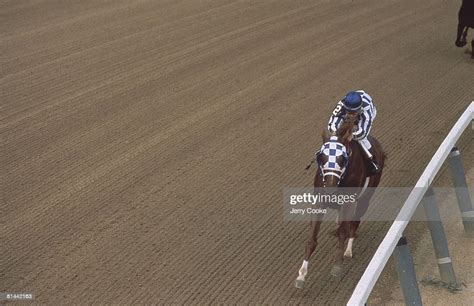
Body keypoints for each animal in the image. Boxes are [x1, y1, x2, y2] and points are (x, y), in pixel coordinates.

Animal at [296, 116, 386, 288]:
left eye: (342, 159)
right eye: (321, 157)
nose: (331, 188)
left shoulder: (348, 203)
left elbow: (344, 232)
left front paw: (337, 265)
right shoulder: (319, 202)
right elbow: (312, 239)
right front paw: (301, 275)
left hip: (367, 195)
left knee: (355, 222)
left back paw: (348, 250)